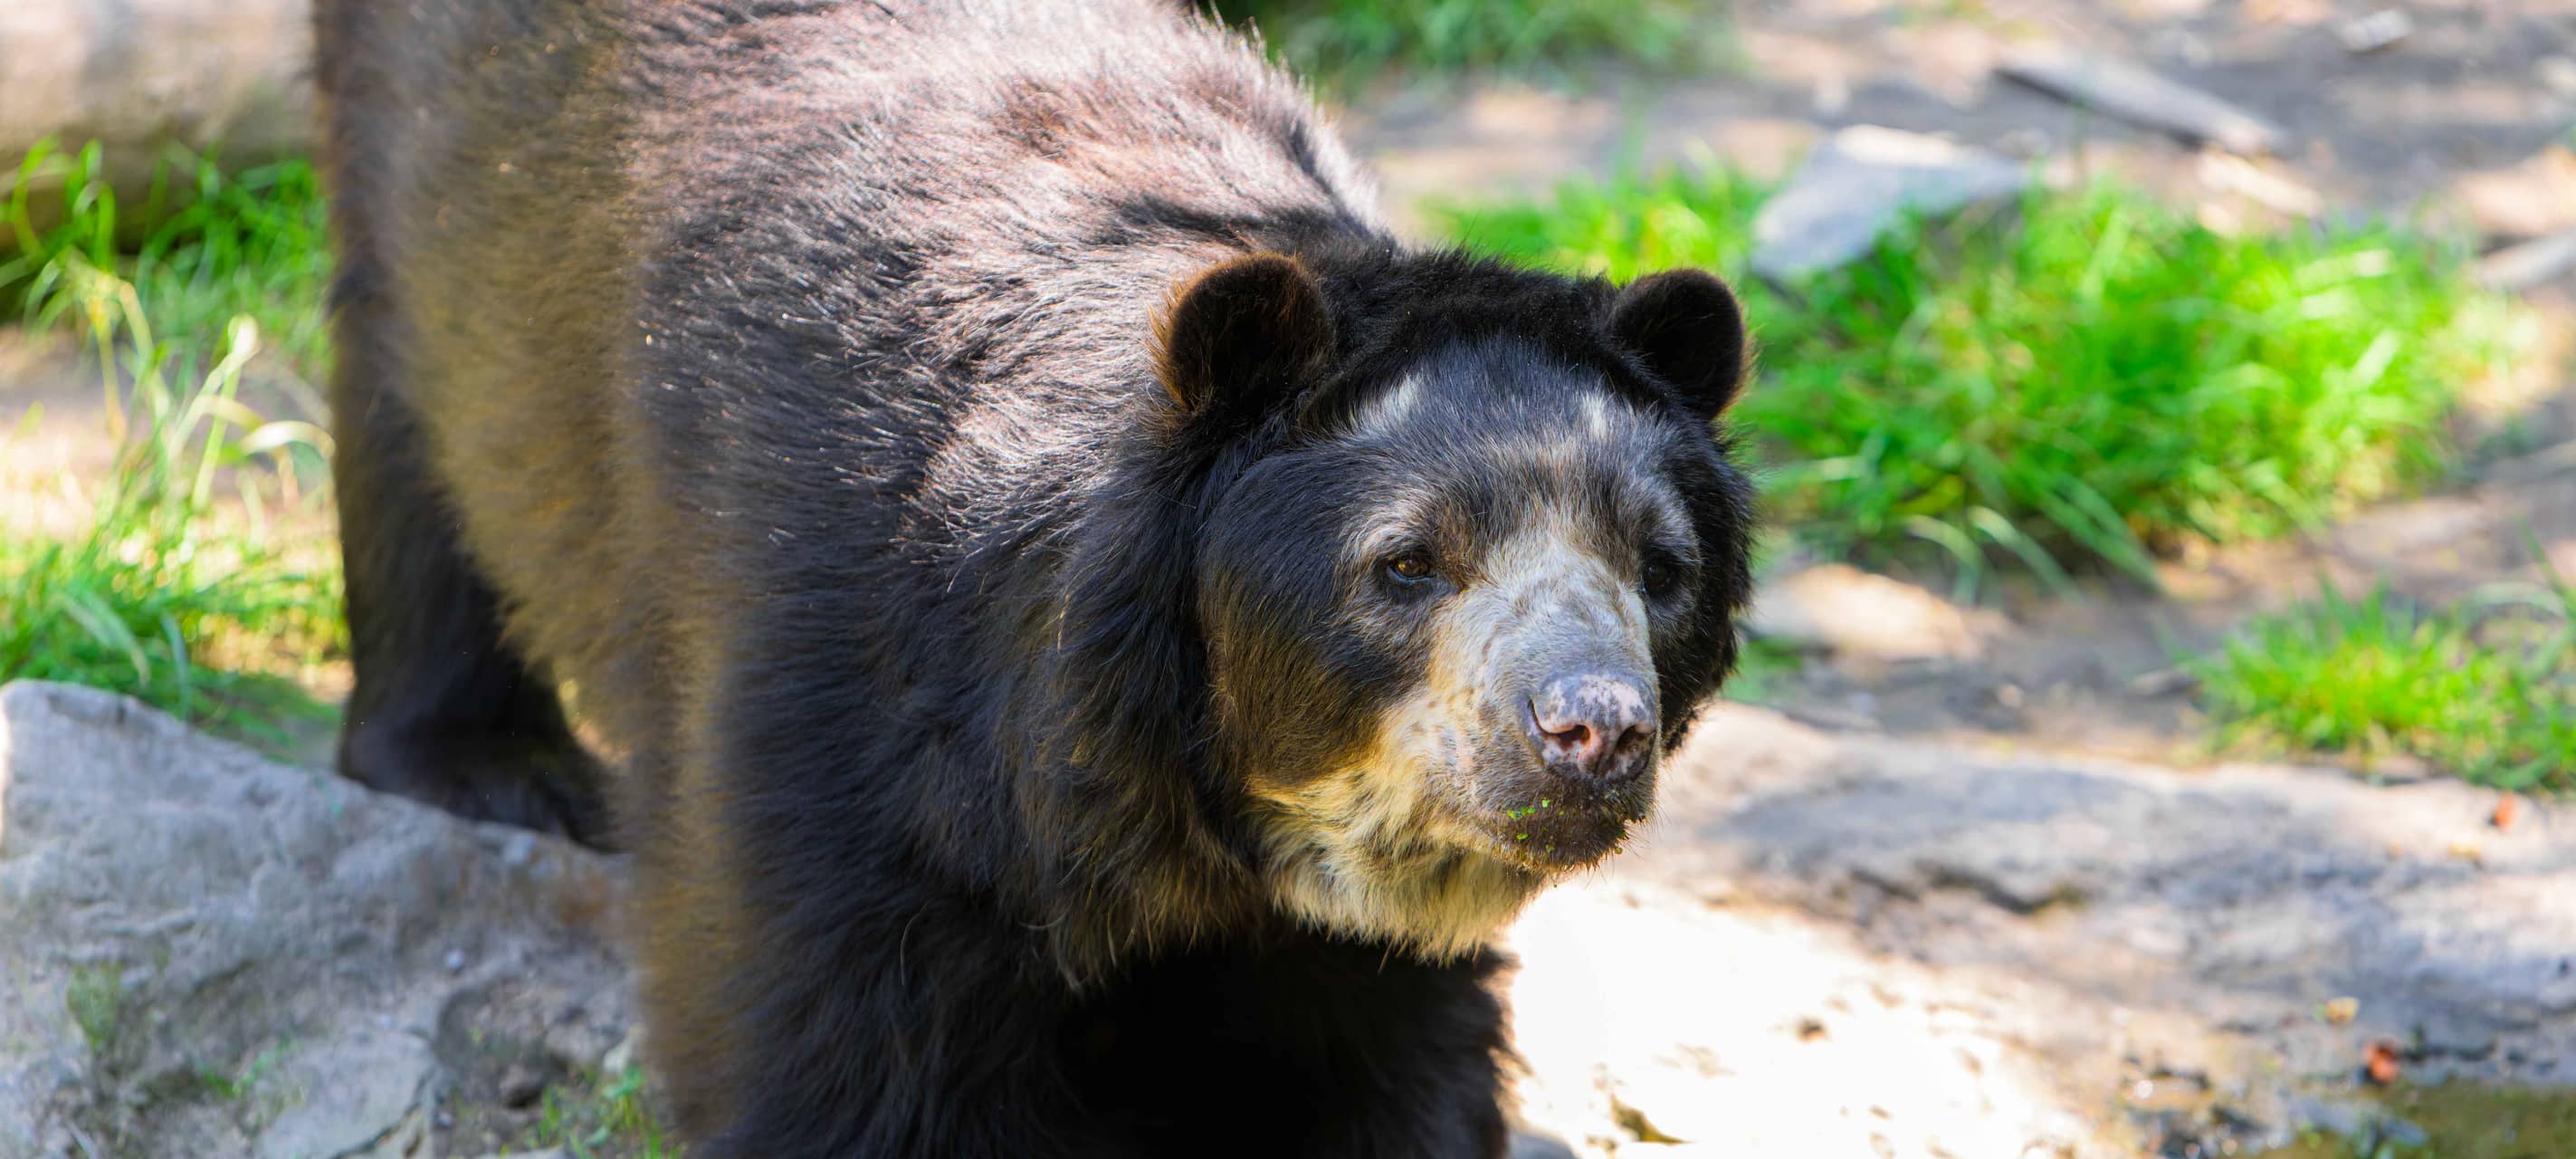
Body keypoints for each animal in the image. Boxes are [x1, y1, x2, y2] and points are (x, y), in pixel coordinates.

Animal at [311, 0, 1758, 1155]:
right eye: (1405, 563)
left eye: (1661, 571)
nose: (1590, 731)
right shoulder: (831, 689)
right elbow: (836, 1061)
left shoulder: (1340, 926)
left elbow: (1391, 1059)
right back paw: (491, 764)